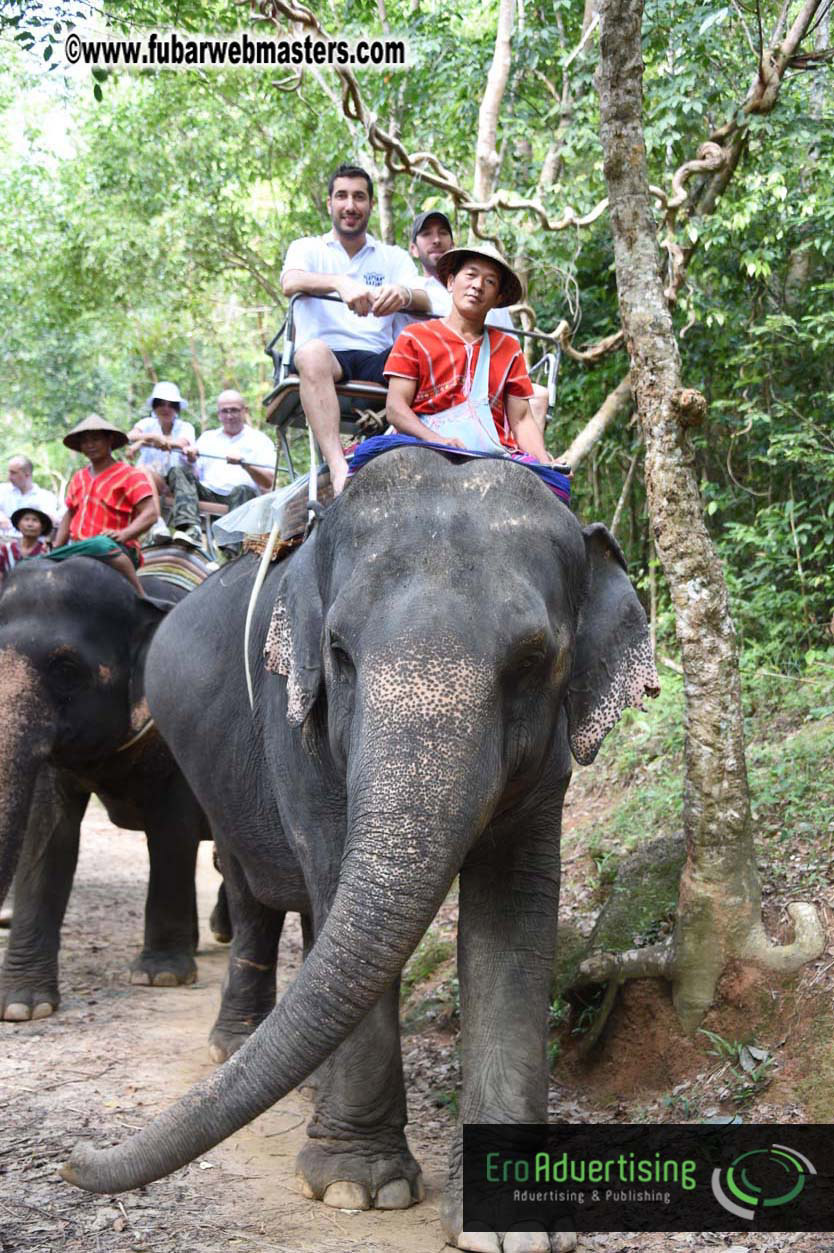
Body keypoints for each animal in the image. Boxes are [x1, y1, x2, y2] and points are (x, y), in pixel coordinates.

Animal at [61, 447, 659, 1252]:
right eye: (339, 653)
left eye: (535, 658)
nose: (73, 1159)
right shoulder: (296, 724)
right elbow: (331, 868)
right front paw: (357, 1187)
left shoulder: (550, 764)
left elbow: (511, 916)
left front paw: (510, 1224)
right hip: (213, 771)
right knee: (255, 889)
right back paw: (235, 1047)